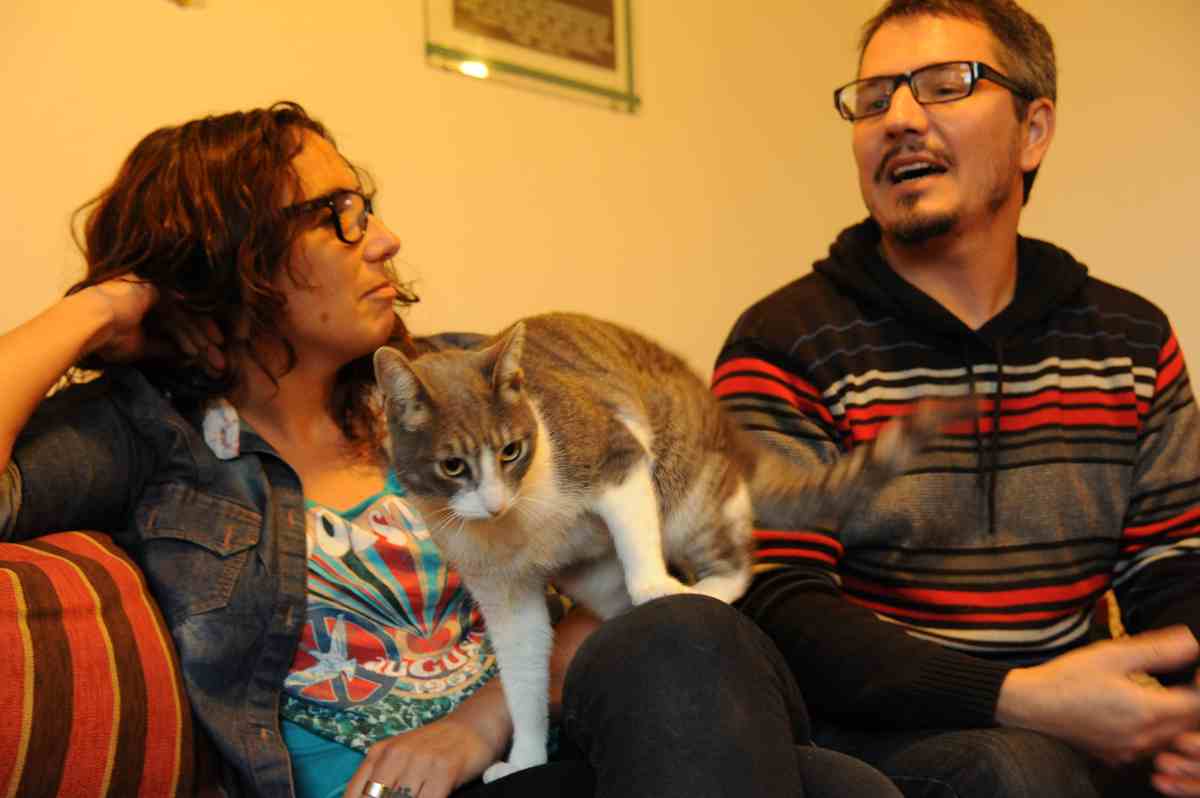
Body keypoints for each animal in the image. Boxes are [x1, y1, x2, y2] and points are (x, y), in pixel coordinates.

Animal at [373, 312, 962, 782]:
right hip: (592, 574)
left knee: (734, 558)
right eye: (453, 466)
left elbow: (638, 539)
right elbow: (522, 676)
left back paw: (706, 590)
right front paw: (526, 760)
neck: (516, 522)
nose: (494, 503)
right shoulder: (503, 591)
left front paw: (656, 588)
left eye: (511, 451)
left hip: (684, 492)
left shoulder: (615, 454)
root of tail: (717, 413)